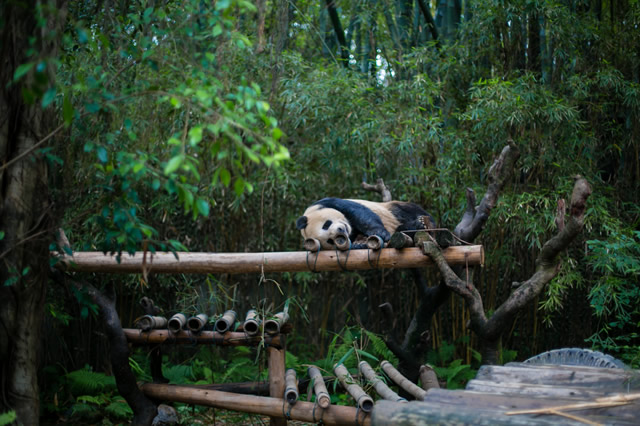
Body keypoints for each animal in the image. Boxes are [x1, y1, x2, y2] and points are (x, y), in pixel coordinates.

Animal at [296, 197, 436, 250]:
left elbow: (359, 213)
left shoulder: (326, 202)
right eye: (330, 240)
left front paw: (380, 232)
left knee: (408, 211)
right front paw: (360, 243)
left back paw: (421, 223)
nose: (341, 230)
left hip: (393, 209)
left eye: (326, 224)